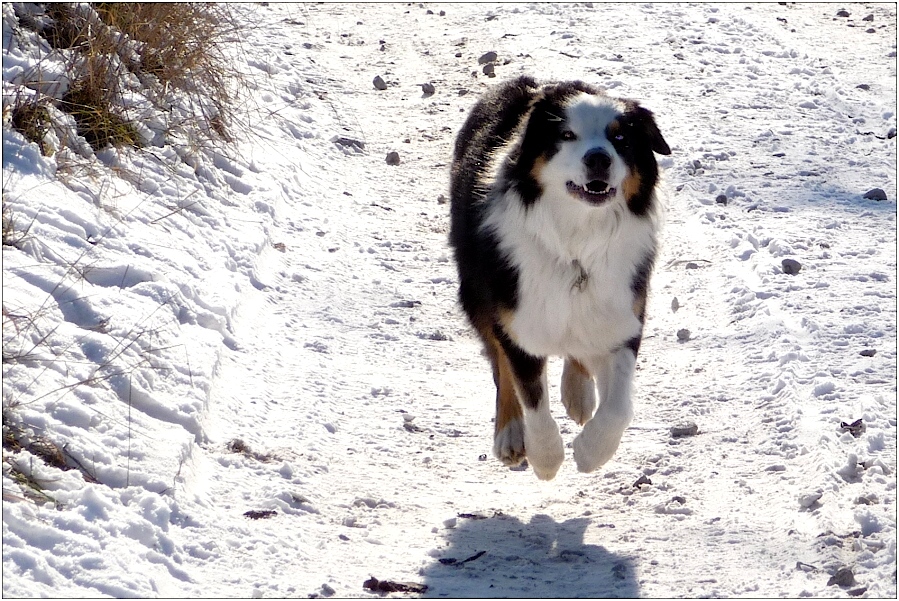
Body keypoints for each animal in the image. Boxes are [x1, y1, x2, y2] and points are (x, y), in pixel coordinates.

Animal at [448, 76, 668, 478]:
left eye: (621, 138)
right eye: (567, 135)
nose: (598, 158)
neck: (576, 241)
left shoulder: (623, 314)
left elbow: (619, 406)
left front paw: (592, 451)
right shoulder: (517, 317)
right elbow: (529, 393)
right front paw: (546, 456)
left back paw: (579, 395)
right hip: (476, 290)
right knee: (499, 363)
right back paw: (510, 433)